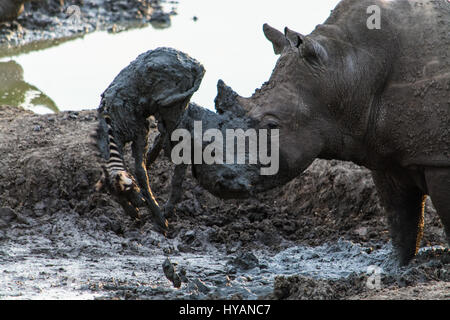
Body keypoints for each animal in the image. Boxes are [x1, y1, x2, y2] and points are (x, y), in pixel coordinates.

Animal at [93, 47, 206, 232]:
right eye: (117, 197)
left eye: (127, 188)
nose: (136, 210)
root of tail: (196, 64)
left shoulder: (140, 133)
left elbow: (140, 171)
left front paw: (160, 219)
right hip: (169, 106)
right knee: (166, 130)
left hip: (172, 105)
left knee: (178, 135)